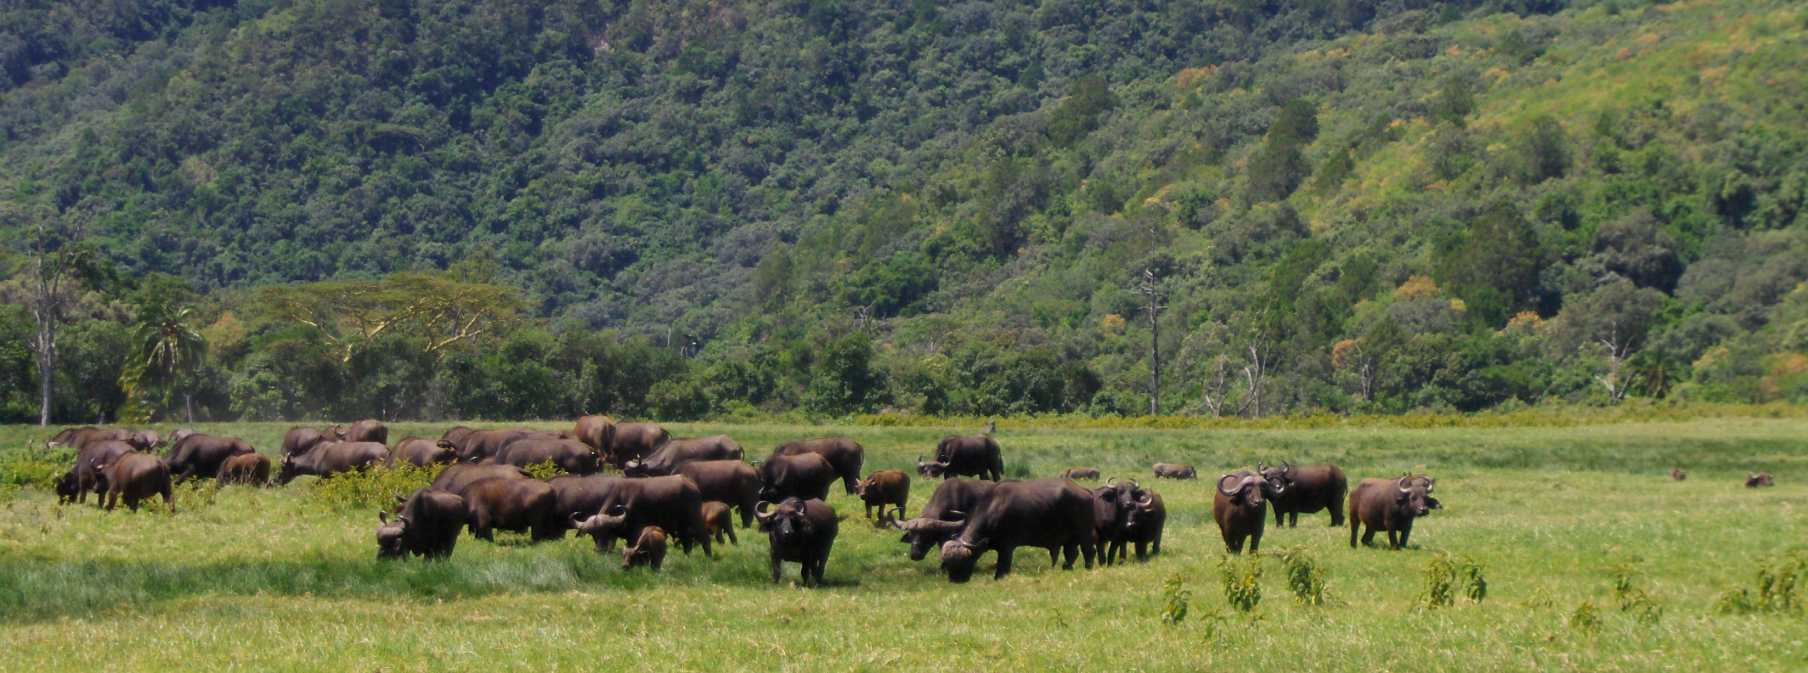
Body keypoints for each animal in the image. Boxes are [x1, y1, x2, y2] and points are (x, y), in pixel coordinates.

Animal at [582, 477, 715, 557]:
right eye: (593, 535)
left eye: (606, 532)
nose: (599, 551)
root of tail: (692, 486)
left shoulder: (636, 532)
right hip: (681, 525)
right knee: (687, 541)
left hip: (695, 518)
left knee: (705, 538)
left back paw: (708, 557)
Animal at [940, 477, 1092, 582]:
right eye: (948, 563)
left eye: (964, 561)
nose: (955, 580)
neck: (994, 508)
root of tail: (1085, 491)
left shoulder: (1007, 548)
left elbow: (1003, 568)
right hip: (1070, 539)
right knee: (1071, 554)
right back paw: (1067, 568)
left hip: (1084, 534)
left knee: (1089, 551)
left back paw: (1088, 568)